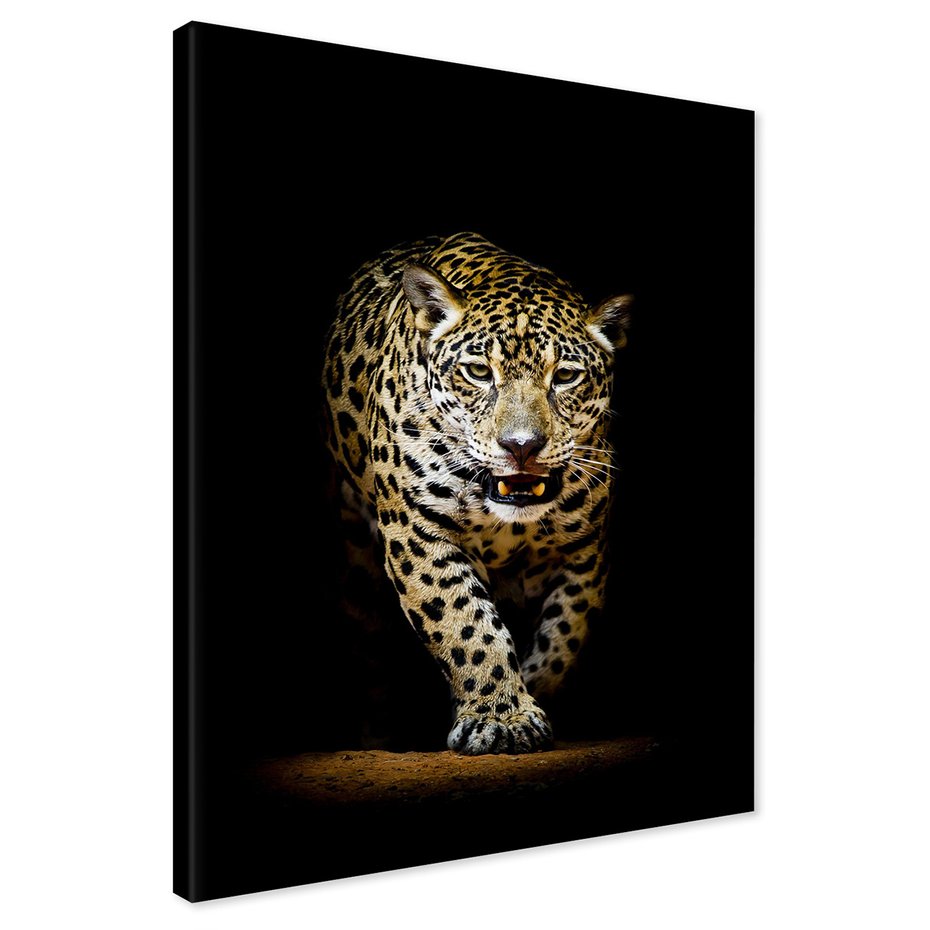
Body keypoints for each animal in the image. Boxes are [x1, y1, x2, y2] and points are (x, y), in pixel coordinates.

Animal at [322, 232, 632, 755]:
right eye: (478, 372)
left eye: (565, 376)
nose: (521, 446)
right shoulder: (418, 533)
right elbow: (465, 624)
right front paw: (501, 718)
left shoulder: (585, 551)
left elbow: (563, 639)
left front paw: (528, 698)